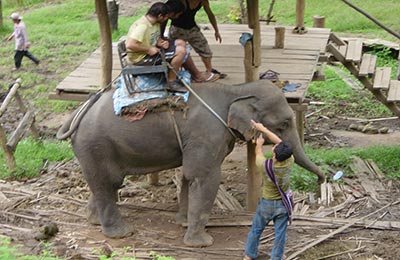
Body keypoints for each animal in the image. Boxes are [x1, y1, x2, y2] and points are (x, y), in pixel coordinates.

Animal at [57, 80, 324, 247]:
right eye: (285, 123)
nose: (321, 183)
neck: (235, 89)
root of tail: (78, 112)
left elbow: (188, 175)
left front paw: (183, 222)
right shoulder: (207, 133)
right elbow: (204, 176)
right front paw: (202, 243)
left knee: (104, 184)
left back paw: (94, 221)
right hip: (96, 145)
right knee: (107, 182)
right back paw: (121, 233)